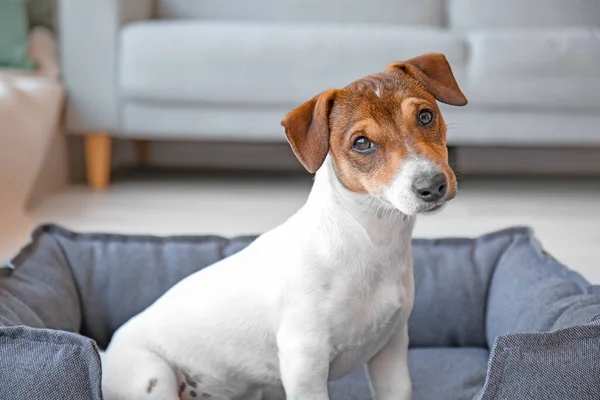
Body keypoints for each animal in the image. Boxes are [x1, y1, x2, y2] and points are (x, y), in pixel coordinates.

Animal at [102, 53, 468, 400]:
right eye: (362, 143)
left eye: (425, 116)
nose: (432, 186)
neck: (367, 240)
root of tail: (104, 355)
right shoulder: (305, 363)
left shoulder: (390, 351)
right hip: (152, 376)